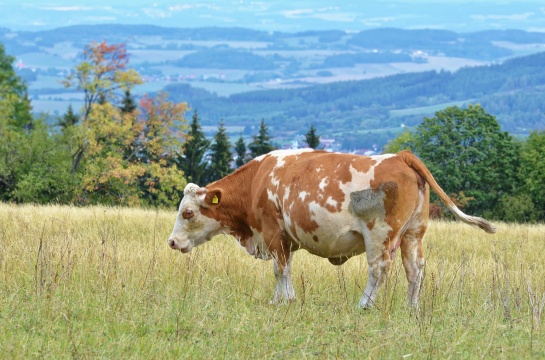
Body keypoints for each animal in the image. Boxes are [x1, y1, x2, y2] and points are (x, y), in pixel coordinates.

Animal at [168, 148, 496, 306]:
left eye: (187, 213)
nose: (171, 242)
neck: (256, 183)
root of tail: (401, 155)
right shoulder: (285, 238)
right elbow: (284, 268)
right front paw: (281, 298)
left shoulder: (273, 233)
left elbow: (280, 269)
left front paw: (283, 301)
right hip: (414, 233)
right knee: (415, 270)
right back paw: (411, 307)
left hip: (379, 235)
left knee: (379, 269)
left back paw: (364, 305)